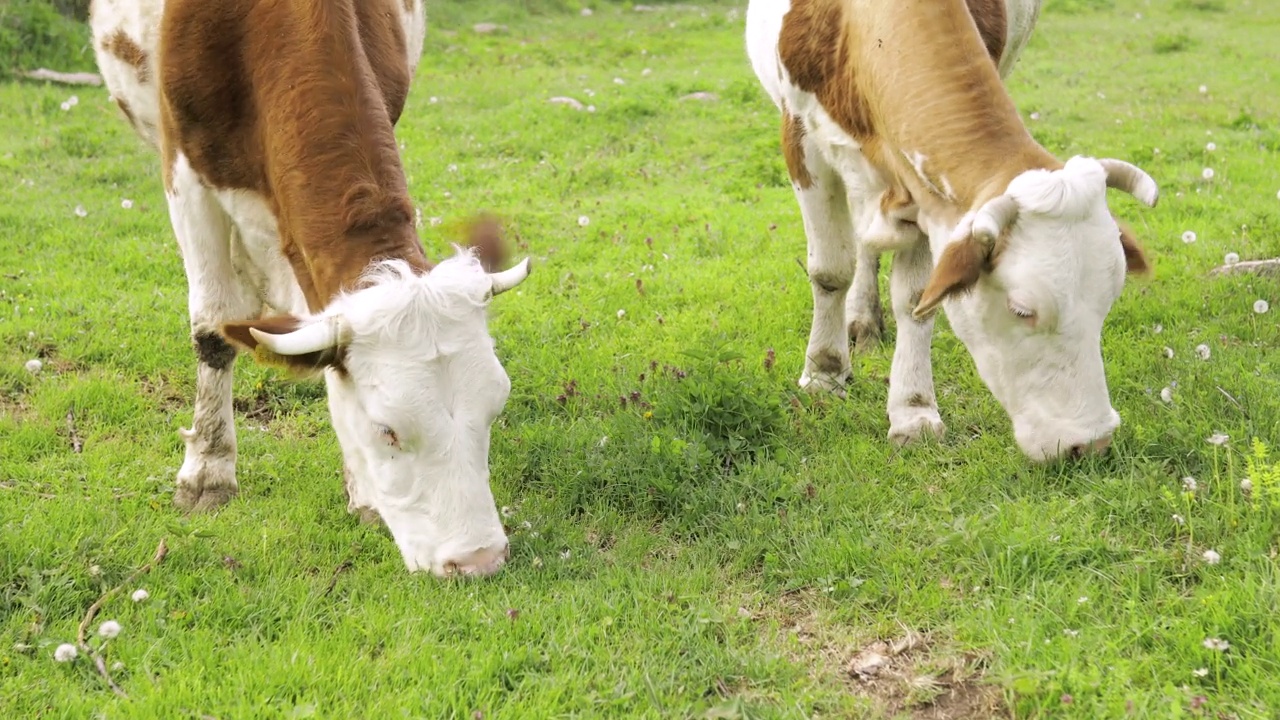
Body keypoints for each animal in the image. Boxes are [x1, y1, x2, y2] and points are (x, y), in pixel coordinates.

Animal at [90, 0, 529, 573]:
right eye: (387, 429)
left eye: (495, 405)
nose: (479, 559)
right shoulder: (184, 169)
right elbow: (212, 327)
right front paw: (208, 471)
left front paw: (360, 489)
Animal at [747, 0, 1167, 458]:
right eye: (1022, 310)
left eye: (1108, 299)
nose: (1091, 443)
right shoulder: (800, 136)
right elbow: (829, 272)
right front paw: (824, 373)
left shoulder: (924, 195)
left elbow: (916, 299)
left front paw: (913, 410)